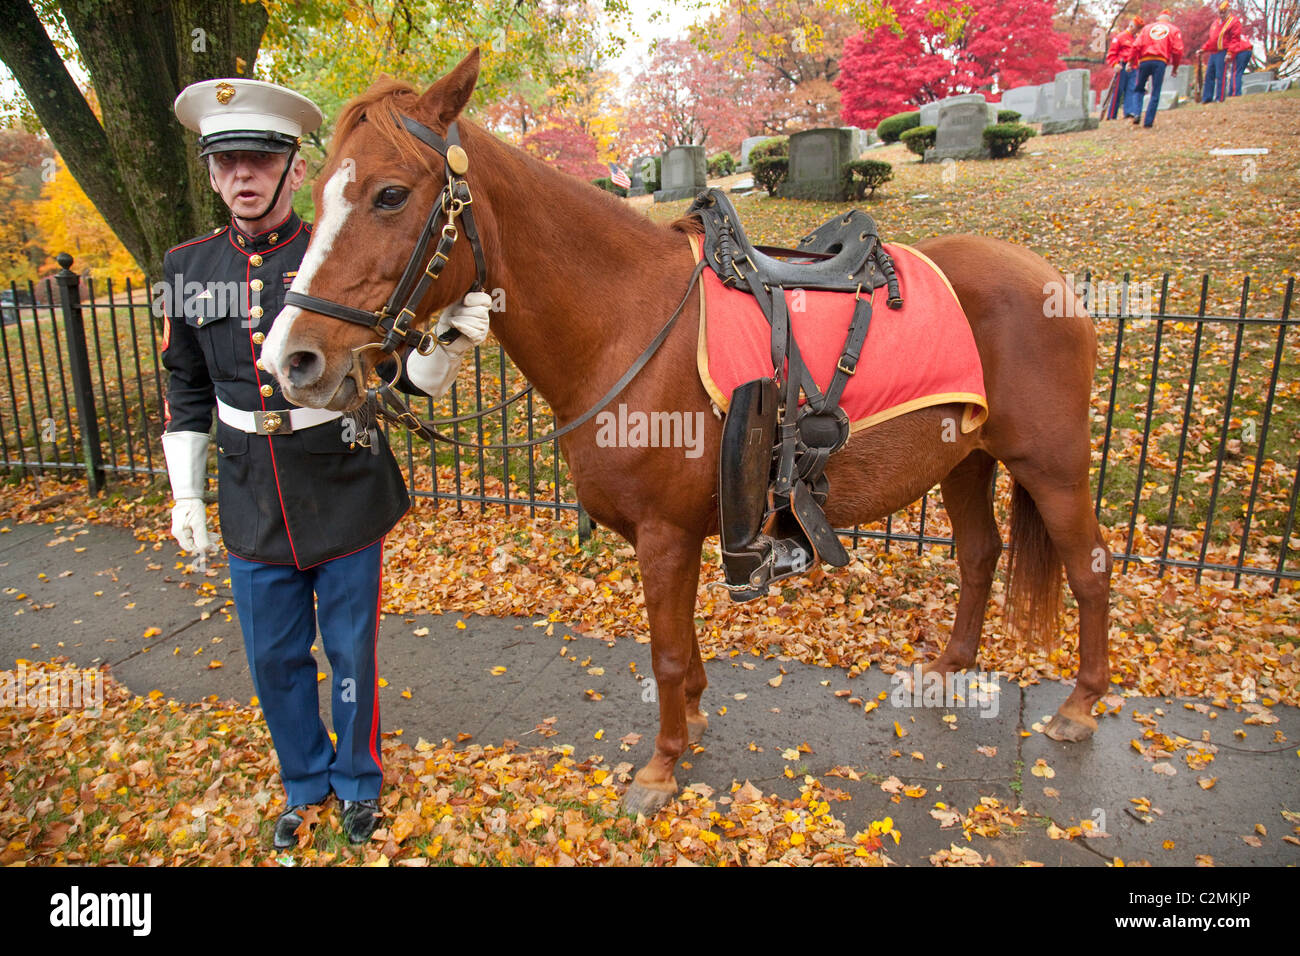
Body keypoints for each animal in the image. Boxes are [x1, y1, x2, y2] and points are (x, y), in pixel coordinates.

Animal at [261, 52, 1107, 816]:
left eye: (390, 194)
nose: (293, 360)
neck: (627, 323)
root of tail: (1051, 281)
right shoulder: (681, 533)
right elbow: (687, 647)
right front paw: (694, 720)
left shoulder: (665, 534)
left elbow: (666, 652)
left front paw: (661, 767)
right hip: (967, 461)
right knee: (979, 556)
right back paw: (949, 669)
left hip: (1053, 467)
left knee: (1089, 569)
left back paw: (1079, 706)